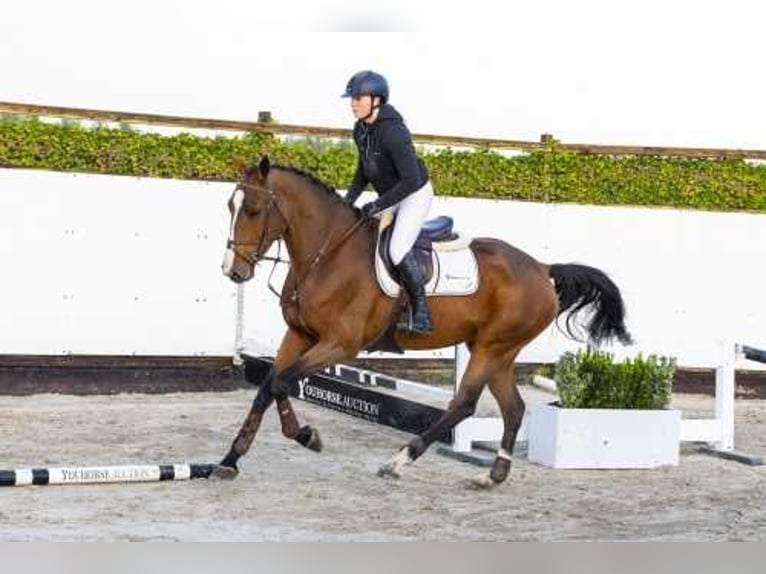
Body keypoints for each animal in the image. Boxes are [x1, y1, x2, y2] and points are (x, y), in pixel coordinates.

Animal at [219, 155, 632, 488]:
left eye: (253, 209)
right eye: (230, 206)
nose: (232, 271)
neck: (327, 253)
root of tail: (542, 269)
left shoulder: (339, 343)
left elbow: (283, 382)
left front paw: (307, 436)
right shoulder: (300, 334)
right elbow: (269, 385)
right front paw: (231, 460)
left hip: (492, 347)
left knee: (463, 404)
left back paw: (399, 460)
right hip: (497, 351)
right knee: (513, 408)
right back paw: (493, 475)